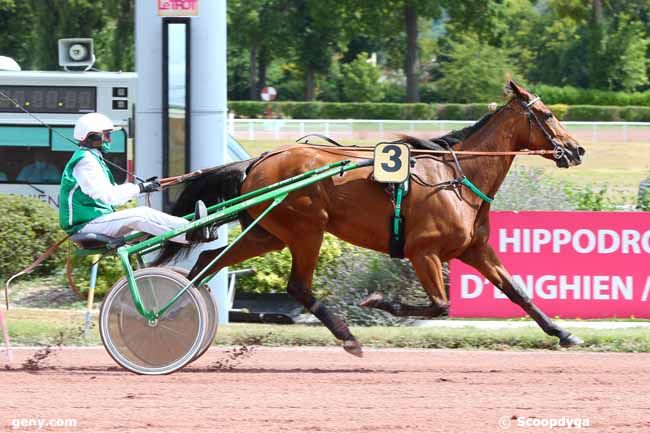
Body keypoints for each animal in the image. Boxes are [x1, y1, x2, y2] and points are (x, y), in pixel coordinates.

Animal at [154, 80, 584, 354]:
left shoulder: (474, 249)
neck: (455, 177)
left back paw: (174, 309)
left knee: (209, 262)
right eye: (547, 115)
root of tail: (256, 161)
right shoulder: (423, 251)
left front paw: (563, 333)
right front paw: (380, 302)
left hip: (268, 234)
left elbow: (518, 292)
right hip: (306, 230)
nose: (577, 149)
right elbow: (440, 305)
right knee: (298, 287)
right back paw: (347, 336)